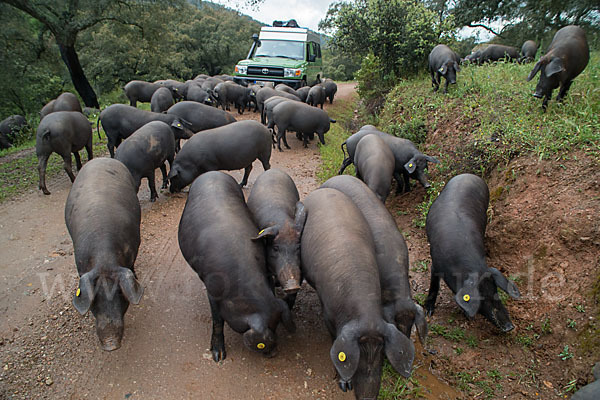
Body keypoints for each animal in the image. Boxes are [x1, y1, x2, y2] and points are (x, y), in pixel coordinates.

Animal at [177, 170, 294, 360]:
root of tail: (212, 172)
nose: (274, 354)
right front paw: (218, 357)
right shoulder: (213, 291)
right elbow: (217, 321)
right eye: (262, 343)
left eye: (276, 326)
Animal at [302, 188, 414, 400]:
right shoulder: (328, 313)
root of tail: (323, 189)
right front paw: (344, 385)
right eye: (359, 355)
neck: (365, 314)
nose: (368, 397)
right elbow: (334, 340)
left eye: (381, 354)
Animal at [424, 173, 516, 332]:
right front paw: (428, 312)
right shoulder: (435, 263)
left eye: (496, 292)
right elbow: (434, 285)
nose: (509, 327)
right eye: (481, 298)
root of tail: (470, 175)